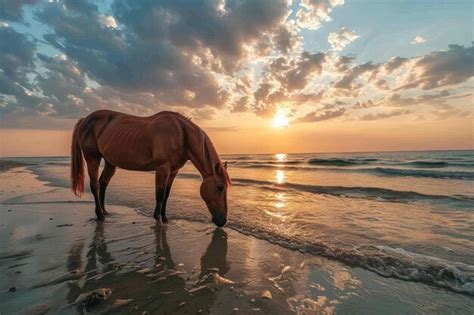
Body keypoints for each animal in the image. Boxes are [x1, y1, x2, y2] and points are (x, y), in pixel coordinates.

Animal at [71, 110, 231, 227]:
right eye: (220, 187)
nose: (222, 221)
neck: (181, 134)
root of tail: (85, 119)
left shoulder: (173, 171)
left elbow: (166, 194)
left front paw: (165, 218)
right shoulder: (162, 169)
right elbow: (159, 194)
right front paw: (157, 218)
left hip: (110, 163)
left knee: (103, 183)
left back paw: (105, 211)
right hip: (92, 158)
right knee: (95, 185)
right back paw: (100, 215)